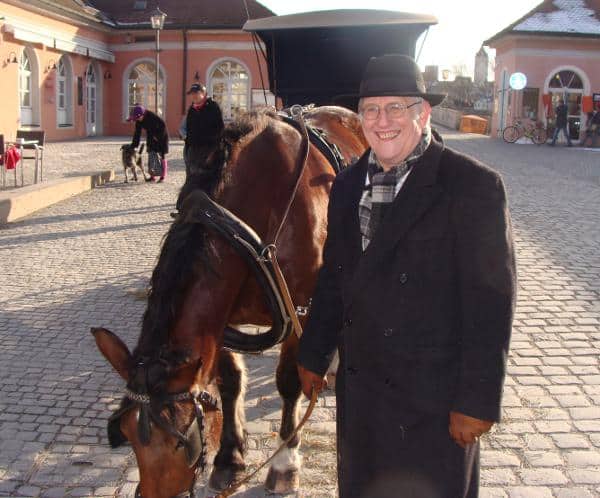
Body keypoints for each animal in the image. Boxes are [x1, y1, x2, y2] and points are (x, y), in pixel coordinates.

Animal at [94, 106, 368, 498]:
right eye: (128, 434)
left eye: (181, 443)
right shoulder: (221, 319)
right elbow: (229, 381)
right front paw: (229, 458)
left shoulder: (302, 307)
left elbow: (289, 381)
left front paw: (285, 462)